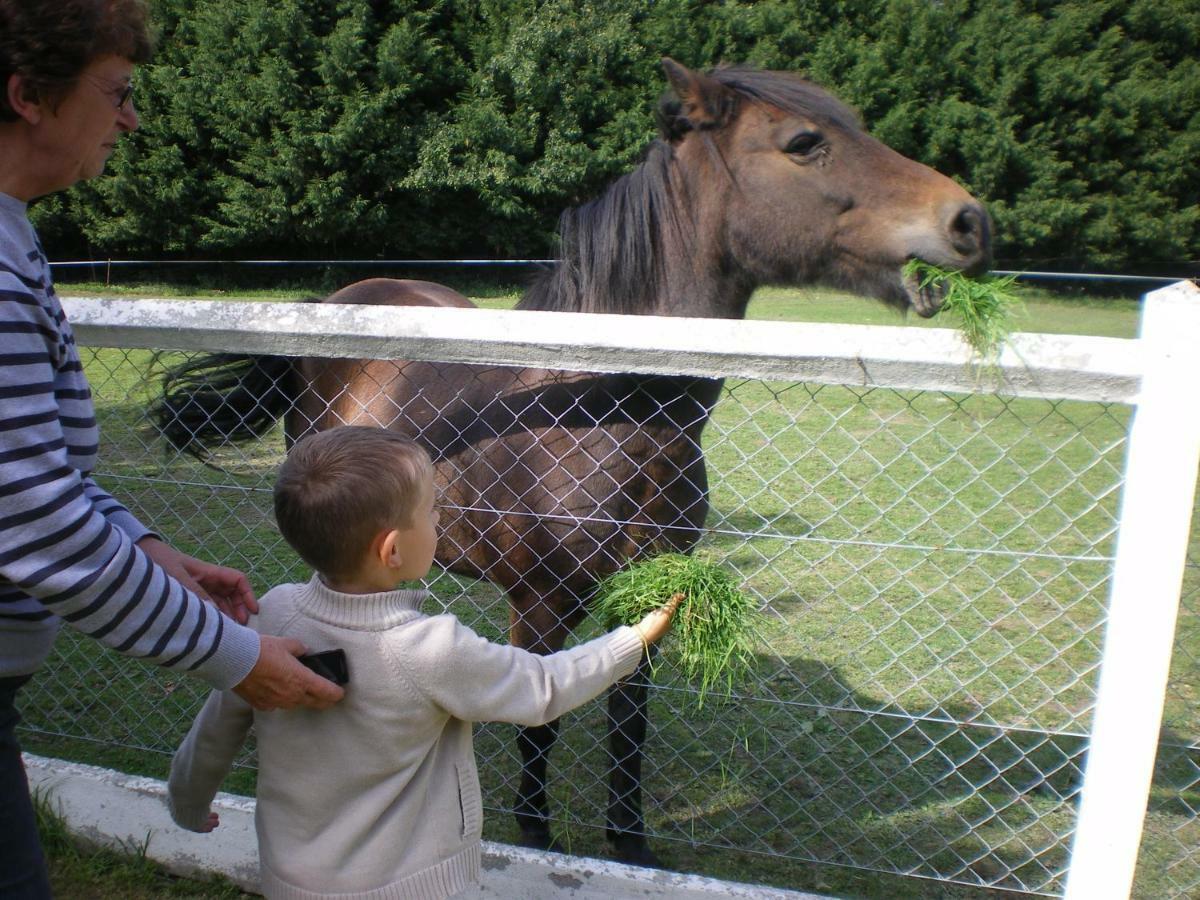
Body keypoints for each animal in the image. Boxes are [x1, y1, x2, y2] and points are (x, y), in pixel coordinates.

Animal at [154, 58, 988, 868]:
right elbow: (541, 720)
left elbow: (629, 719)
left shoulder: (640, 595)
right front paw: (536, 834)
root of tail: (337, 303)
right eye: (804, 142)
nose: (969, 221)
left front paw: (632, 842)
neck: (604, 409)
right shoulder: (543, 604)